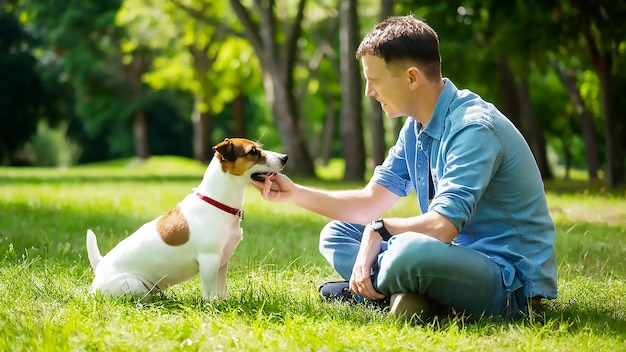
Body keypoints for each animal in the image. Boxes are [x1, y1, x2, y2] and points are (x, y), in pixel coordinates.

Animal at [84, 138, 286, 302]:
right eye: (253, 151)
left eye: (260, 148)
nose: (285, 157)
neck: (217, 202)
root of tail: (99, 266)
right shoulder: (209, 260)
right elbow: (210, 291)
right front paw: (213, 307)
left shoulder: (222, 262)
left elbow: (221, 289)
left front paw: (223, 303)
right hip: (135, 285)